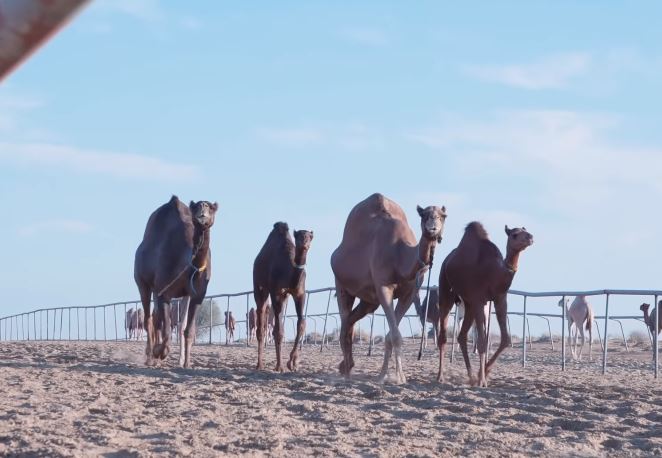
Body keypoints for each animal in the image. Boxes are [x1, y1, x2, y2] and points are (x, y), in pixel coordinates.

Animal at [134, 195, 219, 366]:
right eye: (196, 207)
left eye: (211, 208)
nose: (203, 208)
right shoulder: (165, 292)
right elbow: (166, 330)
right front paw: (159, 352)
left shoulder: (197, 296)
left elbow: (188, 330)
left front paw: (186, 363)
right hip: (143, 283)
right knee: (148, 319)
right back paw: (150, 357)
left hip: (166, 291)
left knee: (161, 319)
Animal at [255, 222, 316, 372]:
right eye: (298, 236)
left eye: (310, 237)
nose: (304, 243)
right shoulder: (276, 292)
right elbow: (278, 331)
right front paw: (280, 366)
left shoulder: (299, 294)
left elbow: (301, 324)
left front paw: (293, 362)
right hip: (259, 286)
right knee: (261, 317)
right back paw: (259, 364)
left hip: (284, 297)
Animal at [330, 193, 448, 382]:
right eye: (423, 215)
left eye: (443, 216)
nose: (432, 229)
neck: (400, 255)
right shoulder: (383, 287)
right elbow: (396, 335)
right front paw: (399, 377)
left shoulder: (410, 293)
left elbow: (390, 336)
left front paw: (384, 374)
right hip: (341, 283)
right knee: (345, 318)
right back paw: (347, 371)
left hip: (369, 301)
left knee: (350, 321)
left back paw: (346, 366)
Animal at [438, 222, 536, 386]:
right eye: (514, 234)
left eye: (525, 230)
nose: (530, 237)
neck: (495, 273)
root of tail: (447, 260)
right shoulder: (479, 300)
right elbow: (482, 341)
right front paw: (482, 380)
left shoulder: (500, 298)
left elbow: (505, 339)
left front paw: (483, 373)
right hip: (445, 289)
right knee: (443, 335)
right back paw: (440, 376)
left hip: (468, 304)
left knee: (462, 336)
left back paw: (471, 376)